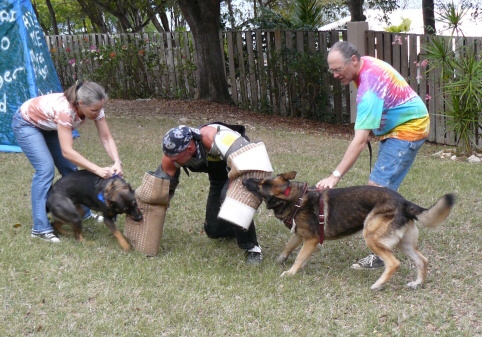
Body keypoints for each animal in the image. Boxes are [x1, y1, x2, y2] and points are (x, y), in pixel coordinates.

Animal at [243, 171, 458, 288]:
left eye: (260, 185)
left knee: (394, 263)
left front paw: (291, 272)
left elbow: (299, 258)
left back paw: (379, 284)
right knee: (422, 260)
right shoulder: (299, 235)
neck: (296, 200)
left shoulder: (311, 241)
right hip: (403, 243)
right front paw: (279, 261)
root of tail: (404, 202)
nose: (245, 180)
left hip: (371, 237)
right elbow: (287, 248)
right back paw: (417, 283)